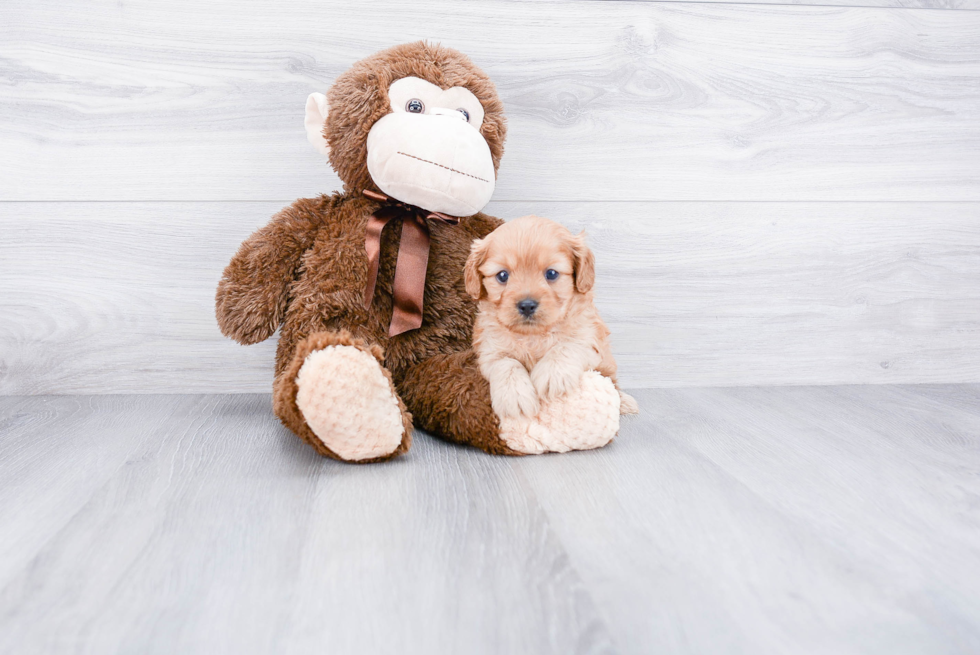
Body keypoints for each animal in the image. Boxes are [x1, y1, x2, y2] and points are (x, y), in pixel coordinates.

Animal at [468, 215, 644, 420]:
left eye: (551, 273)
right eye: (502, 276)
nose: (527, 305)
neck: (533, 336)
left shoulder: (591, 340)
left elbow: (568, 345)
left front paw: (552, 374)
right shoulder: (489, 351)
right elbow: (506, 363)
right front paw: (514, 396)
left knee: (613, 383)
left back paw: (625, 402)